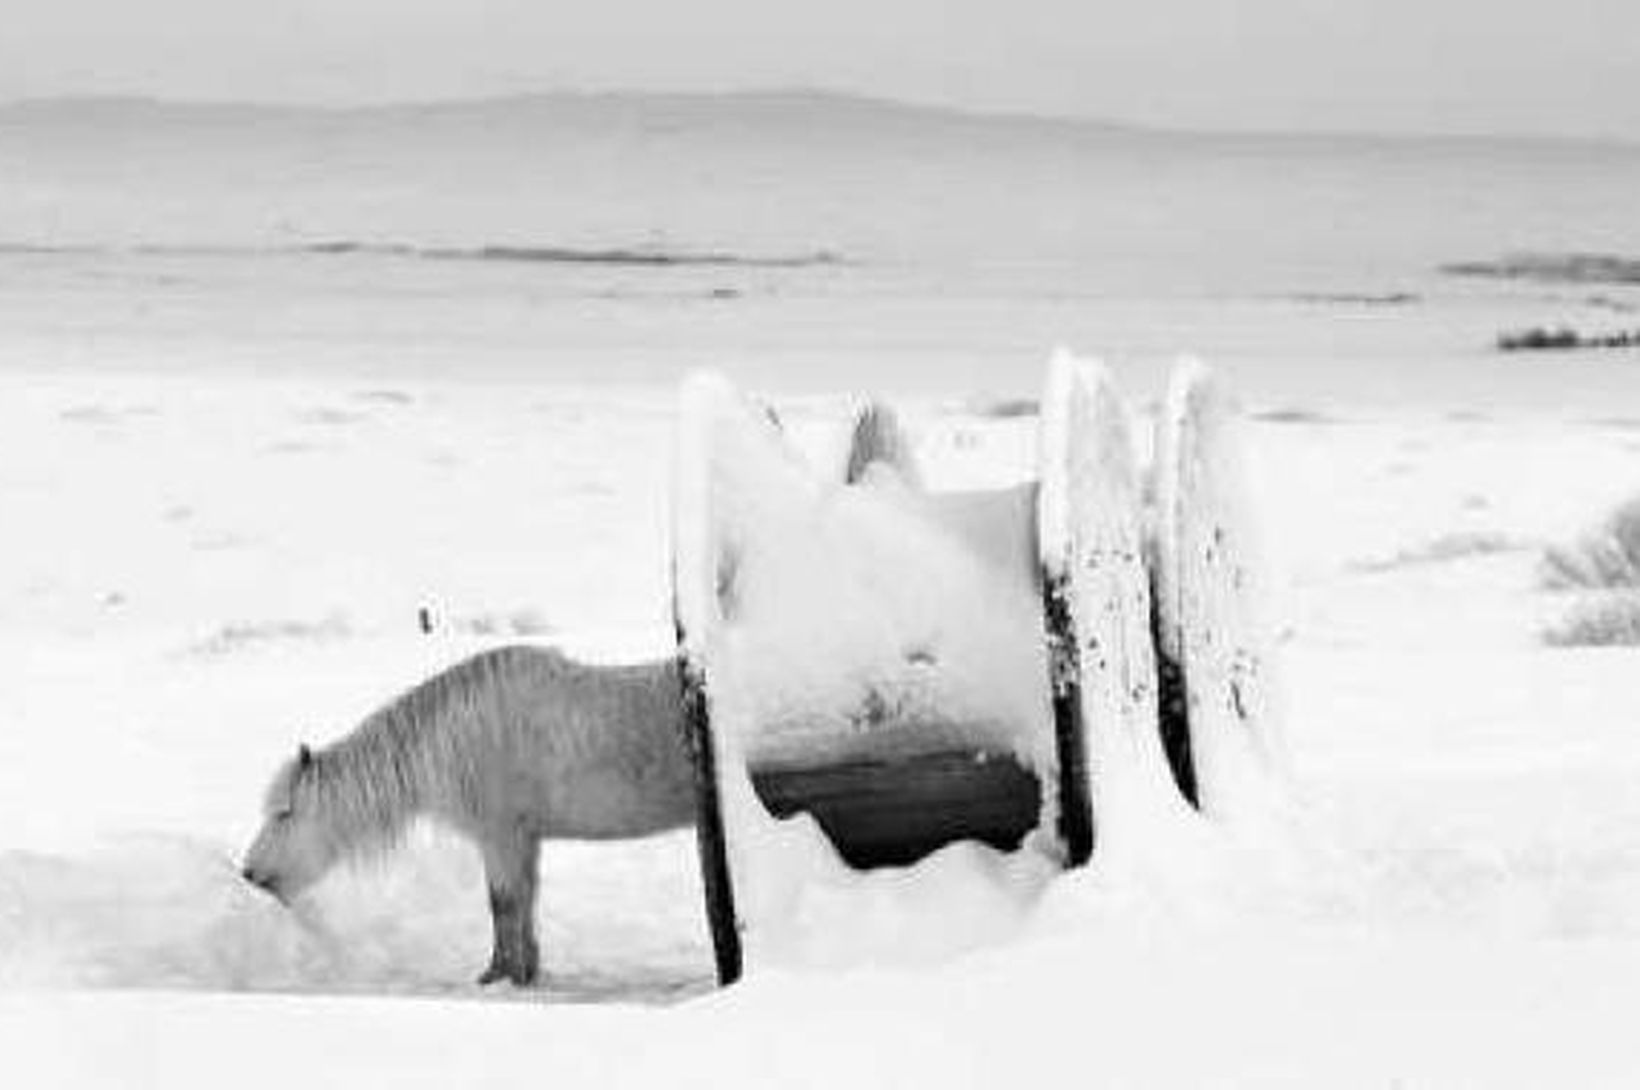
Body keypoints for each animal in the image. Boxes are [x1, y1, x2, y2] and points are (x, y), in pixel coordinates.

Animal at [239, 645, 692, 983]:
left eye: (284, 814)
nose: (249, 871)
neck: (460, 738)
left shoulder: (499, 836)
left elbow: (503, 903)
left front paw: (500, 975)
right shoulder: (523, 839)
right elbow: (525, 899)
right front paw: (526, 969)